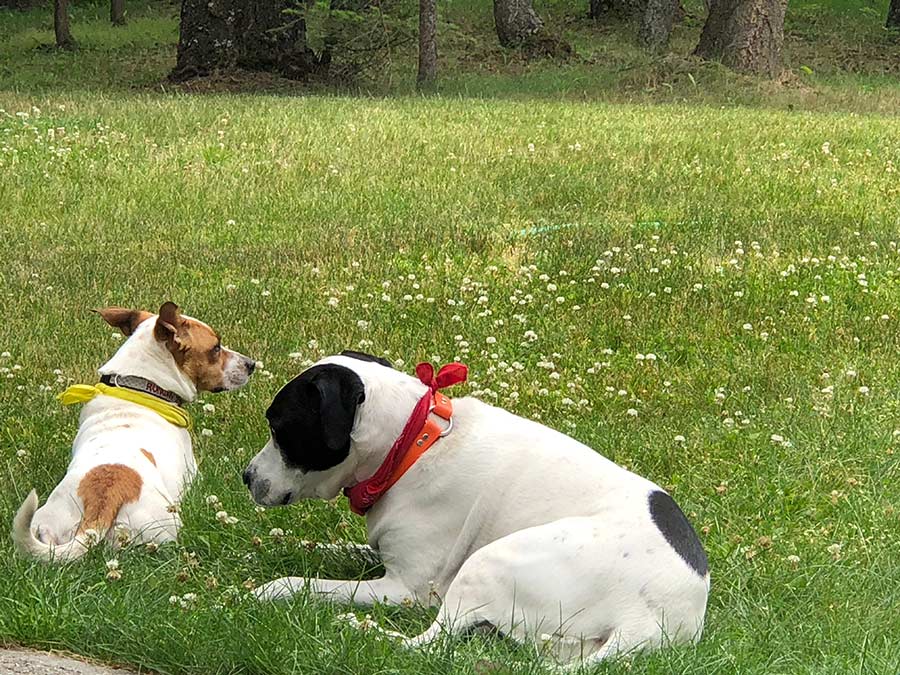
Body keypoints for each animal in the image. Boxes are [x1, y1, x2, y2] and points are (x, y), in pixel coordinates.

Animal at [12, 304, 255, 564]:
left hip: (46, 522)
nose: (251, 364)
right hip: (164, 527)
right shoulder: (194, 475)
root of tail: (102, 500)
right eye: (216, 348)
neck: (141, 387)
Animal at [243, 354, 708, 664]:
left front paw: (269, 589)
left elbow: (304, 583)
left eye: (278, 427)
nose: (245, 476)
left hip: (488, 560)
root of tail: (651, 622)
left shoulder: (405, 588)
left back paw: (361, 630)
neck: (411, 444)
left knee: (427, 642)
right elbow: (326, 548)